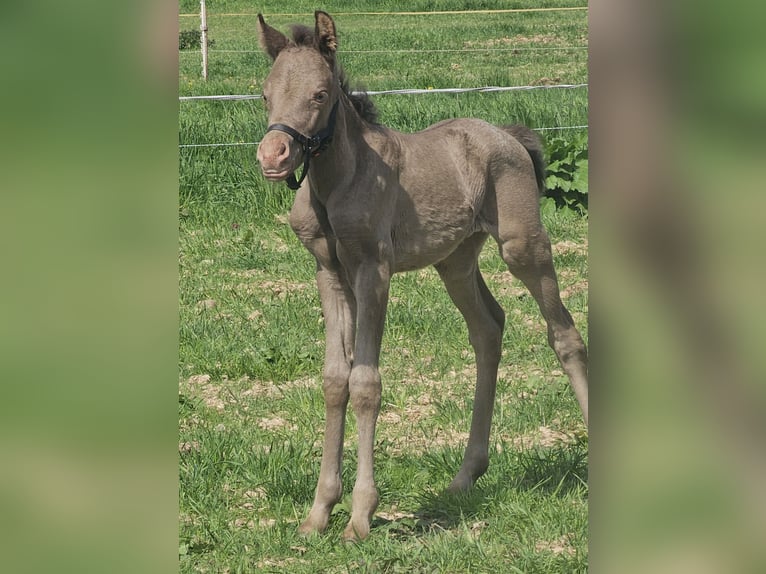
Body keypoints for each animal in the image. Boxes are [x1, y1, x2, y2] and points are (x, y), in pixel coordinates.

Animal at [255, 11, 588, 541]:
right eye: (266, 94)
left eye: (320, 94)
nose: (273, 156)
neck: (340, 180)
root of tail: (508, 135)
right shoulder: (329, 272)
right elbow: (334, 379)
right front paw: (318, 512)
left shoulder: (374, 270)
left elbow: (365, 383)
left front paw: (360, 517)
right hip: (455, 260)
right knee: (488, 328)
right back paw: (466, 475)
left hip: (523, 246)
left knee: (564, 334)